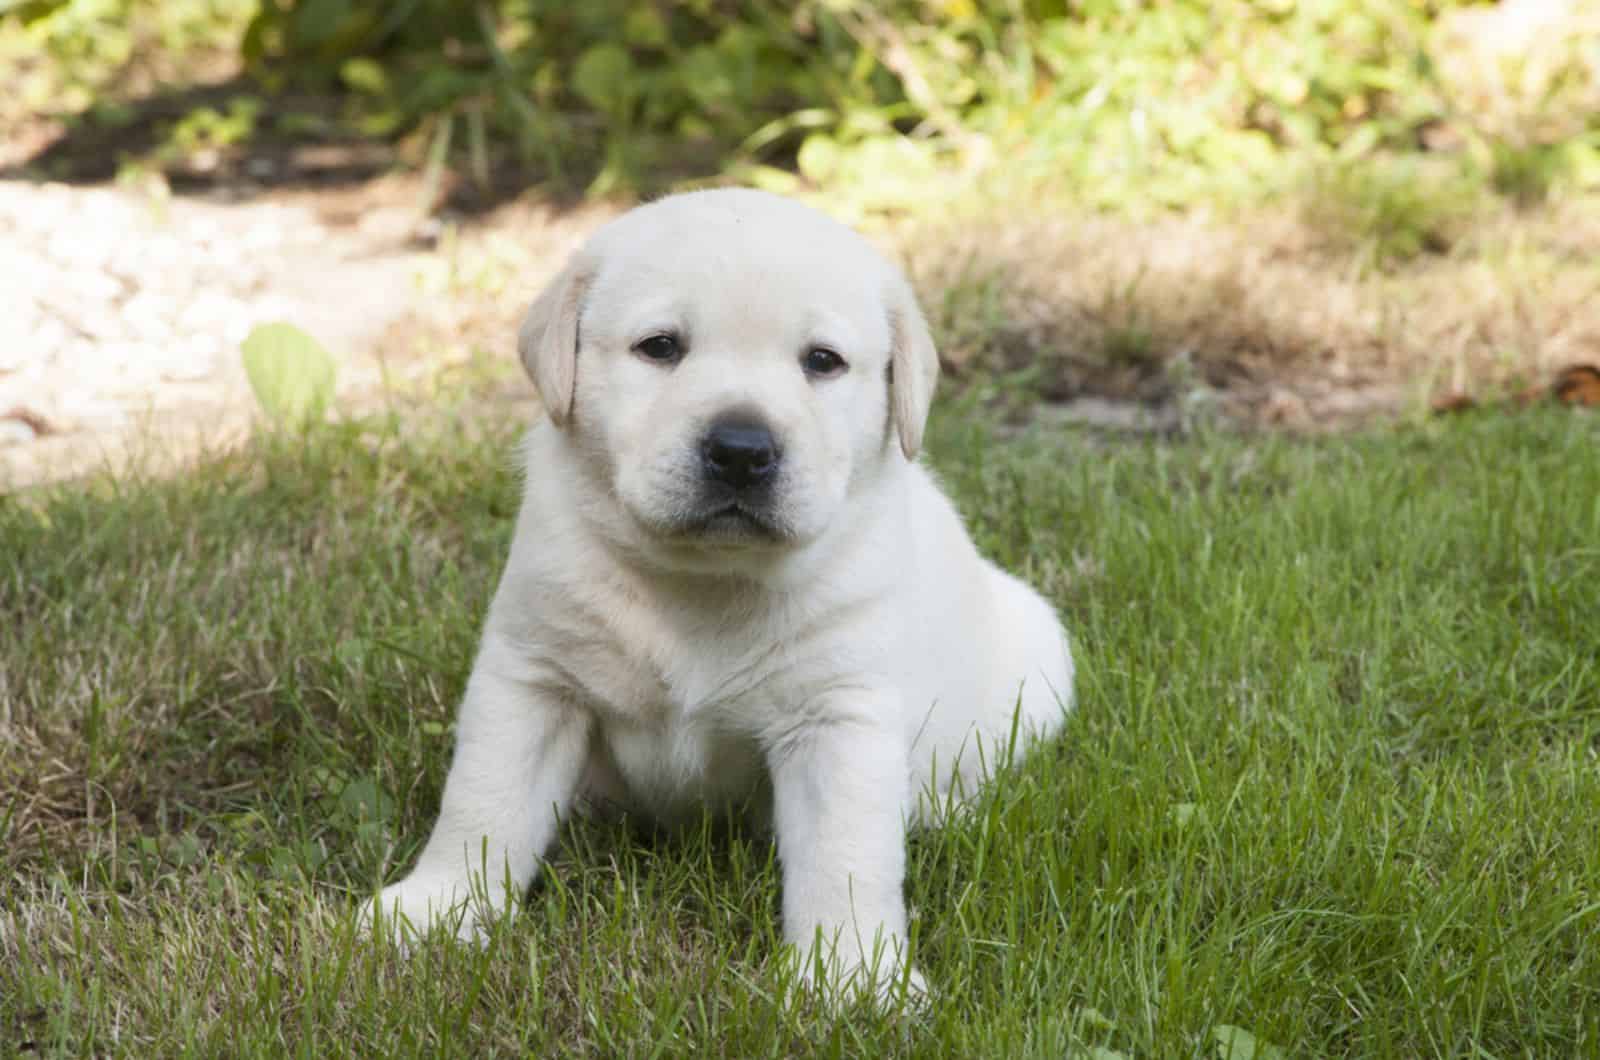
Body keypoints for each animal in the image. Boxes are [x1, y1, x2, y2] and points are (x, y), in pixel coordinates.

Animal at [366, 188, 1075, 999]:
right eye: (660, 347)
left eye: (823, 362)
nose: (740, 449)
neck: (702, 580)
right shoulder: (534, 677)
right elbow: (483, 803)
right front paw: (435, 911)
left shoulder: (837, 715)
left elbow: (846, 858)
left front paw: (853, 977)